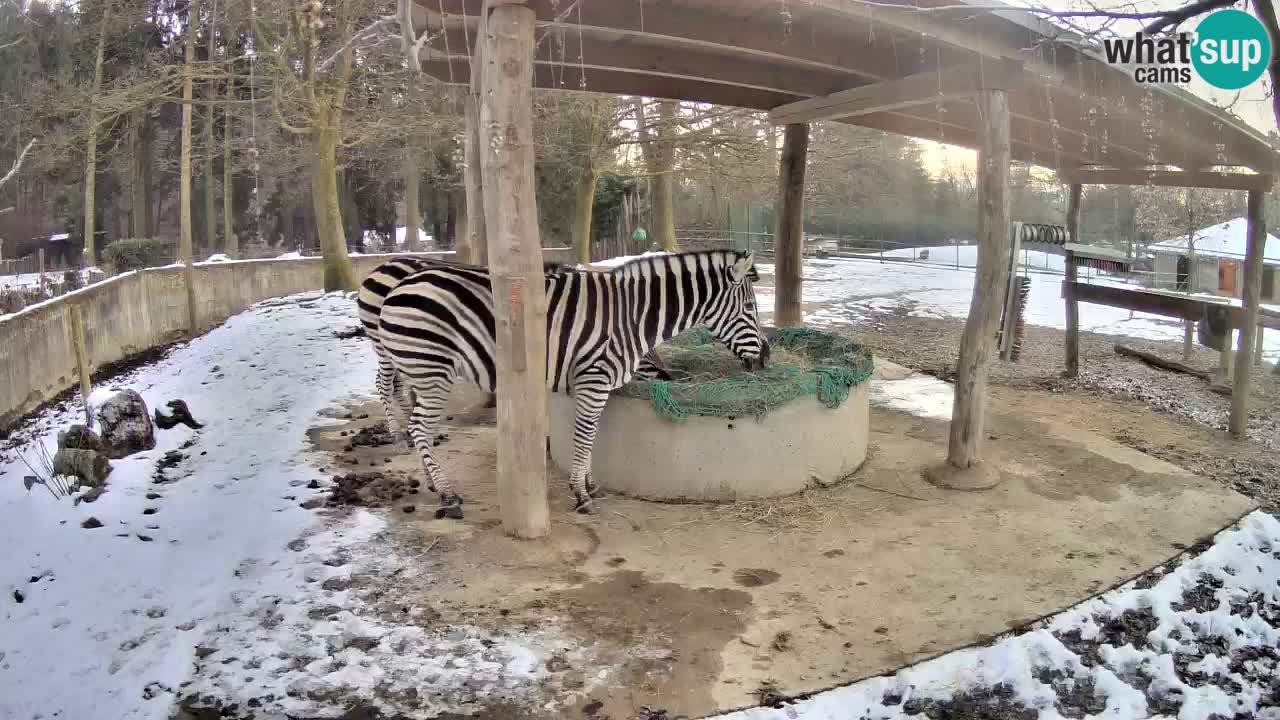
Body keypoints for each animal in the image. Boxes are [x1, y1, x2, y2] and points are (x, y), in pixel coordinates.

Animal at [350, 252, 670, 443]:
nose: (668, 377)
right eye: (645, 348)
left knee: (399, 384)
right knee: (384, 383)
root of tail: (380, 267)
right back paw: (396, 431)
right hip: (389, 345)